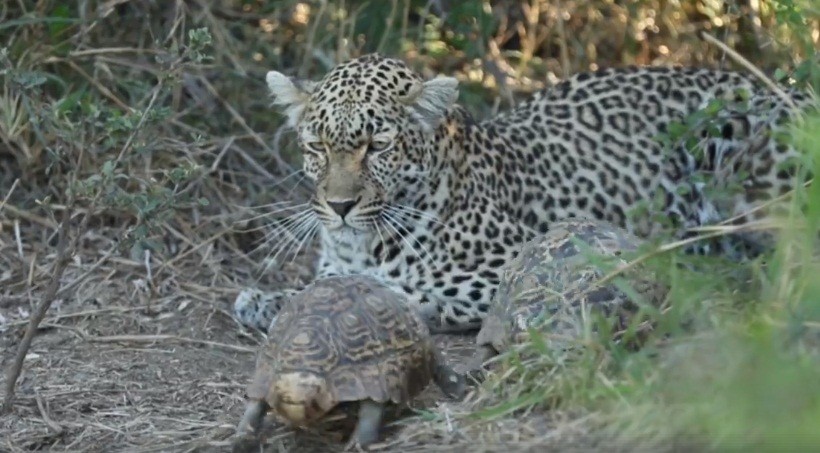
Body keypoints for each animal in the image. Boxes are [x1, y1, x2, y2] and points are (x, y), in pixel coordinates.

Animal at [231, 54, 812, 334]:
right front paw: (264, 300)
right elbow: (317, 289)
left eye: (377, 145)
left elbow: (413, 292)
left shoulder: (511, 265)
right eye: (317, 146)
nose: (340, 207)